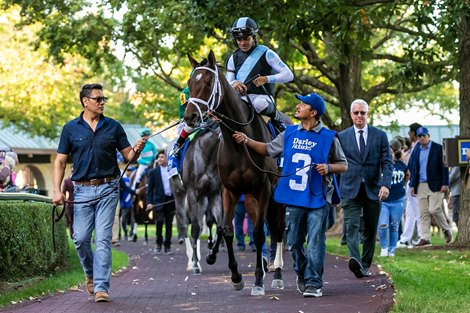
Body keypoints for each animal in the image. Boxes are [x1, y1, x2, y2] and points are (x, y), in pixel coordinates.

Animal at [170, 125, 225, 272]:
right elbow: (194, 228)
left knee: (200, 225)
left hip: (203, 200)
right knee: (183, 223)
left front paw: (211, 256)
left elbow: (219, 227)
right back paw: (191, 259)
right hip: (179, 193)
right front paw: (194, 265)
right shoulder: (192, 193)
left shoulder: (214, 194)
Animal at [184, 50, 286, 294]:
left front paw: (257, 281)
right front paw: (236, 276)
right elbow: (227, 229)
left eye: (208, 82)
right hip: (249, 198)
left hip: (278, 196)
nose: (190, 117)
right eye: (190, 83)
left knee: (278, 231)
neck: (240, 144)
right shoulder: (229, 191)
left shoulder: (264, 189)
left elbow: (258, 234)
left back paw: (277, 274)